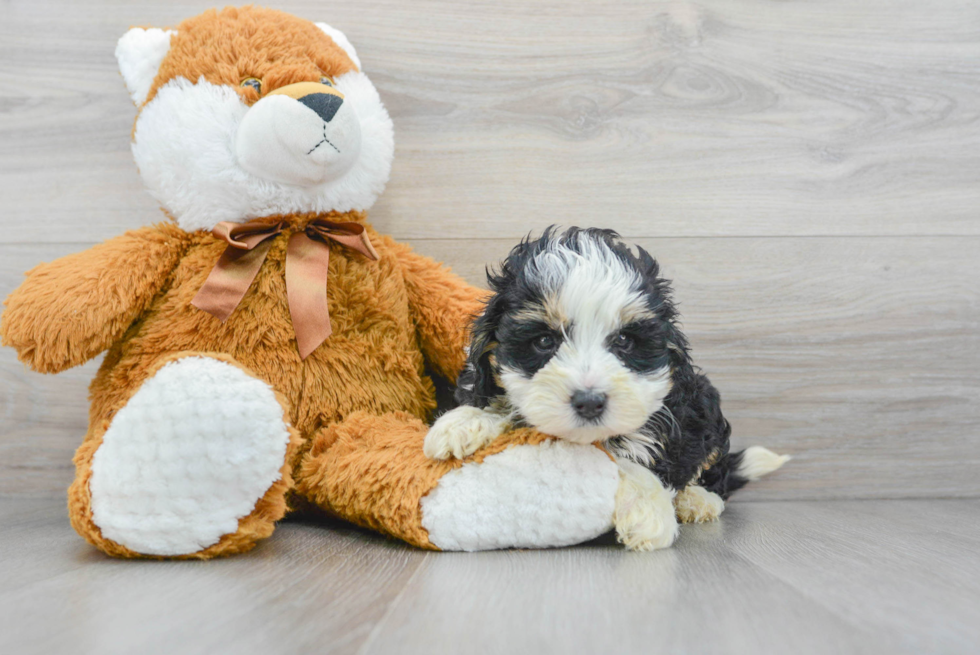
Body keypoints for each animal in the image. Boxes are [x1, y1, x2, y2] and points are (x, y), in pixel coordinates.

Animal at [424, 228, 788, 552]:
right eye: (544, 341)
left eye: (624, 340)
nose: (589, 402)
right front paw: (462, 423)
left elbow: (632, 455)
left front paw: (648, 515)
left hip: (706, 406)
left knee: (711, 471)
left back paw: (699, 501)